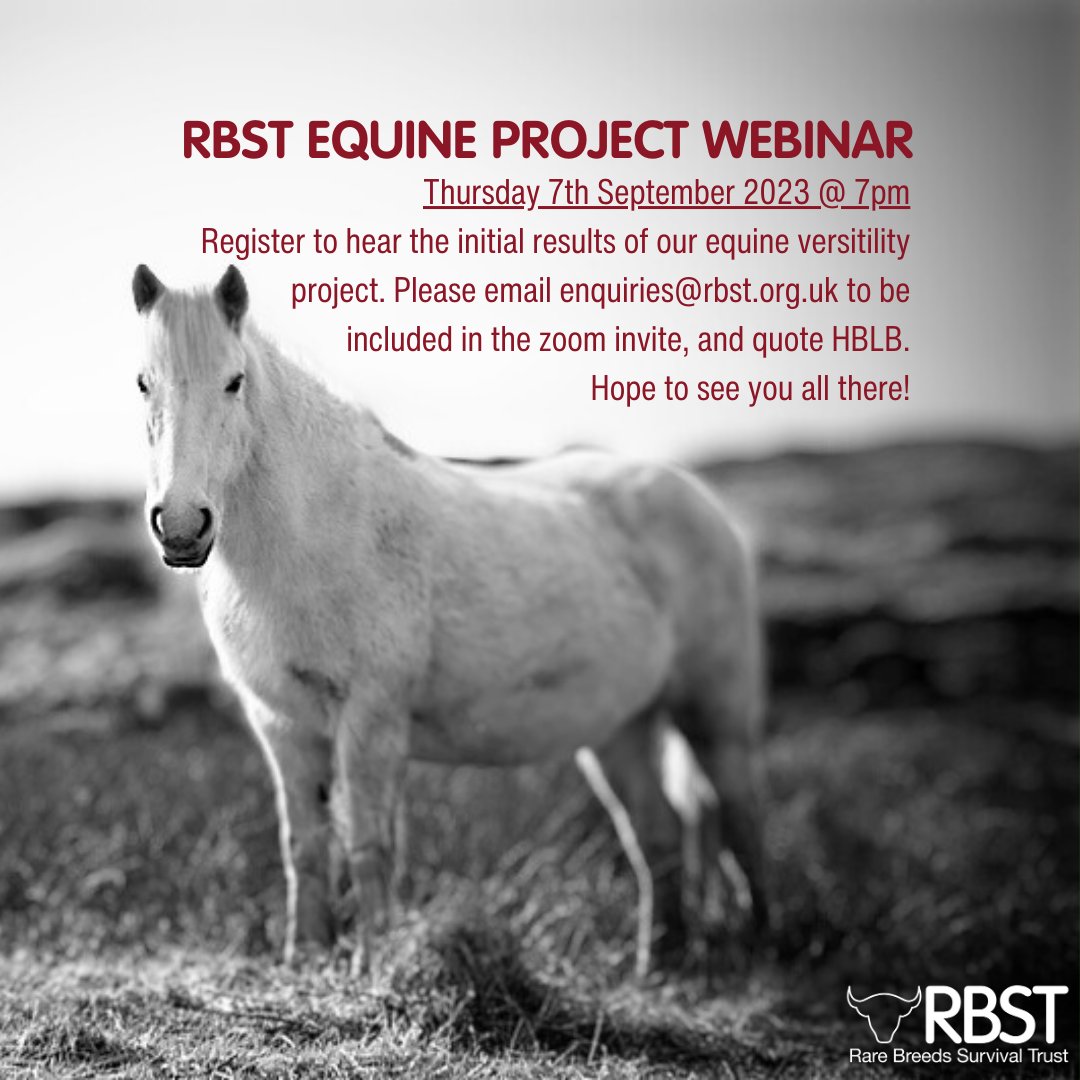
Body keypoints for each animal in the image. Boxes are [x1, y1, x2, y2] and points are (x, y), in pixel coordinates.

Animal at [130, 264, 769, 975]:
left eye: (234, 381)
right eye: (143, 383)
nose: (181, 527)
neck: (317, 534)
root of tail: (702, 502)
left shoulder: (371, 720)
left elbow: (369, 846)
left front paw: (375, 965)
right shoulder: (283, 727)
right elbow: (305, 848)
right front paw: (306, 960)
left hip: (714, 714)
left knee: (742, 815)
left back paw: (767, 942)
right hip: (622, 727)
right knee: (657, 834)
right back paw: (656, 965)